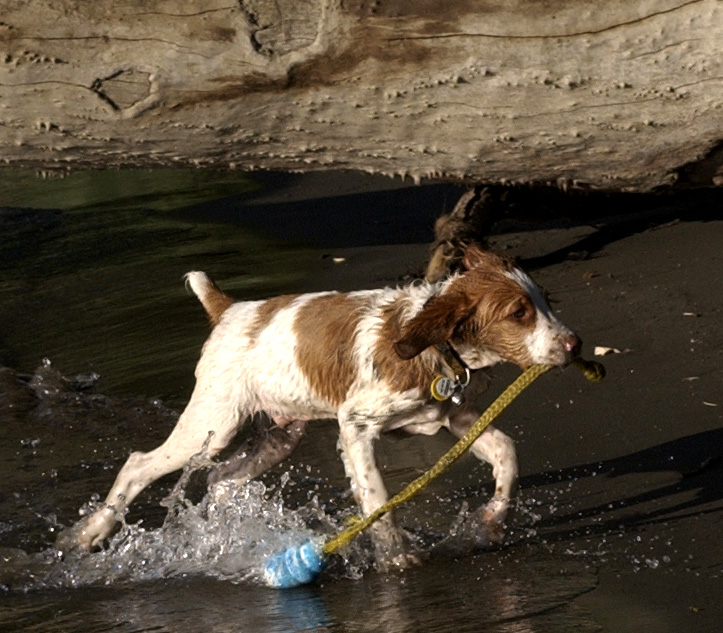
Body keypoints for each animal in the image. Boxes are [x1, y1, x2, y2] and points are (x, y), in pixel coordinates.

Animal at [62, 244, 584, 564]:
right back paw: (92, 533)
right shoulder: (354, 425)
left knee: (223, 479)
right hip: (213, 425)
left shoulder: (456, 417)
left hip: (279, 434)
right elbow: (377, 499)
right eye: (518, 313)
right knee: (139, 464)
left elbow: (506, 453)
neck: (435, 347)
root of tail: (230, 310)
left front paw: (493, 522)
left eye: (545, 301)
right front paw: (396, 557)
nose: (576, 343)